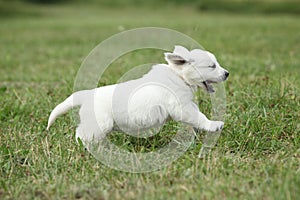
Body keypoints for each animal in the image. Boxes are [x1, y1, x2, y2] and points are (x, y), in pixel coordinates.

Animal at [47, 46, 230, 143]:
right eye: (212, 66)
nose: (227, 73)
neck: (179, 77)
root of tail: (86, 95)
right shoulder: (181, 107)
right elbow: (200, 117)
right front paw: (214, 125)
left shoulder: (187, 104)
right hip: (100, 123)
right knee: (81, 134)